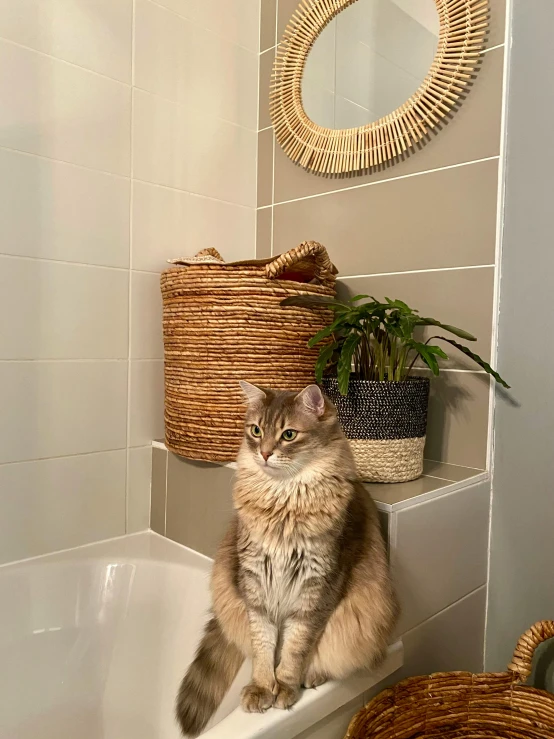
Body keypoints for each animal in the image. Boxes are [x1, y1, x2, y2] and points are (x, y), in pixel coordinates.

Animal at [175, 384, 394, 736]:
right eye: (256, 431)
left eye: (288, 434)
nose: (264, 453)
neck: (282, 502)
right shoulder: (256, 587)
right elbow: (263, 645)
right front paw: (262, 687)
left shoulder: (316, 589)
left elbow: (295, 647)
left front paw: (286, 687)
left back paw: (313, 675)